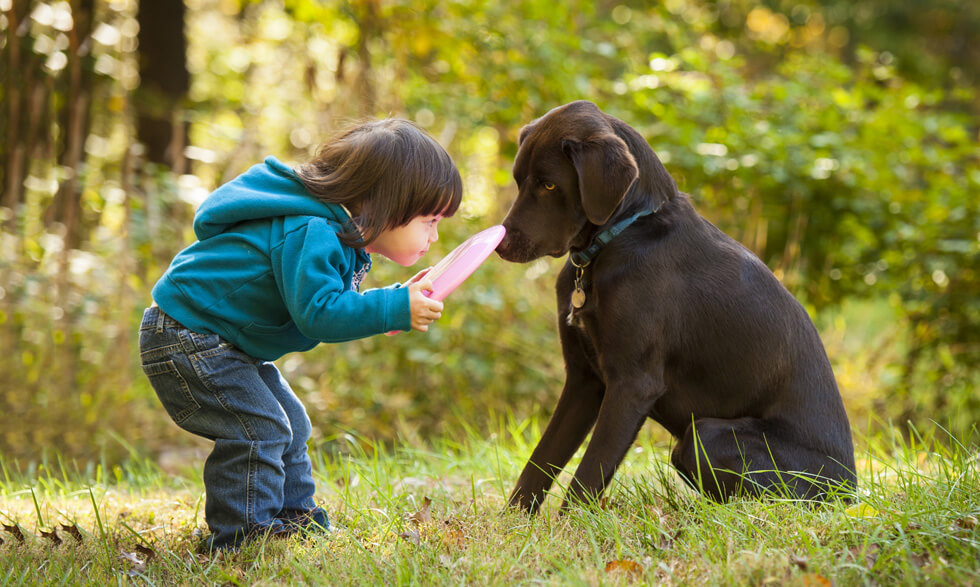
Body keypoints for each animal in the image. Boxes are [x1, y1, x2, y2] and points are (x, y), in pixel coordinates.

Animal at [494, 101, 852, 516]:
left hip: (706, 436)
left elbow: (587, 475)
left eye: (549, 184)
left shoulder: (632, 384)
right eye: (519, 180)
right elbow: (540, 461)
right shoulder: (583, 380)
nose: (500, 245)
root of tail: (851, 491)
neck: (622, 235)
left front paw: (569, 527)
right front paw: (512, 525)